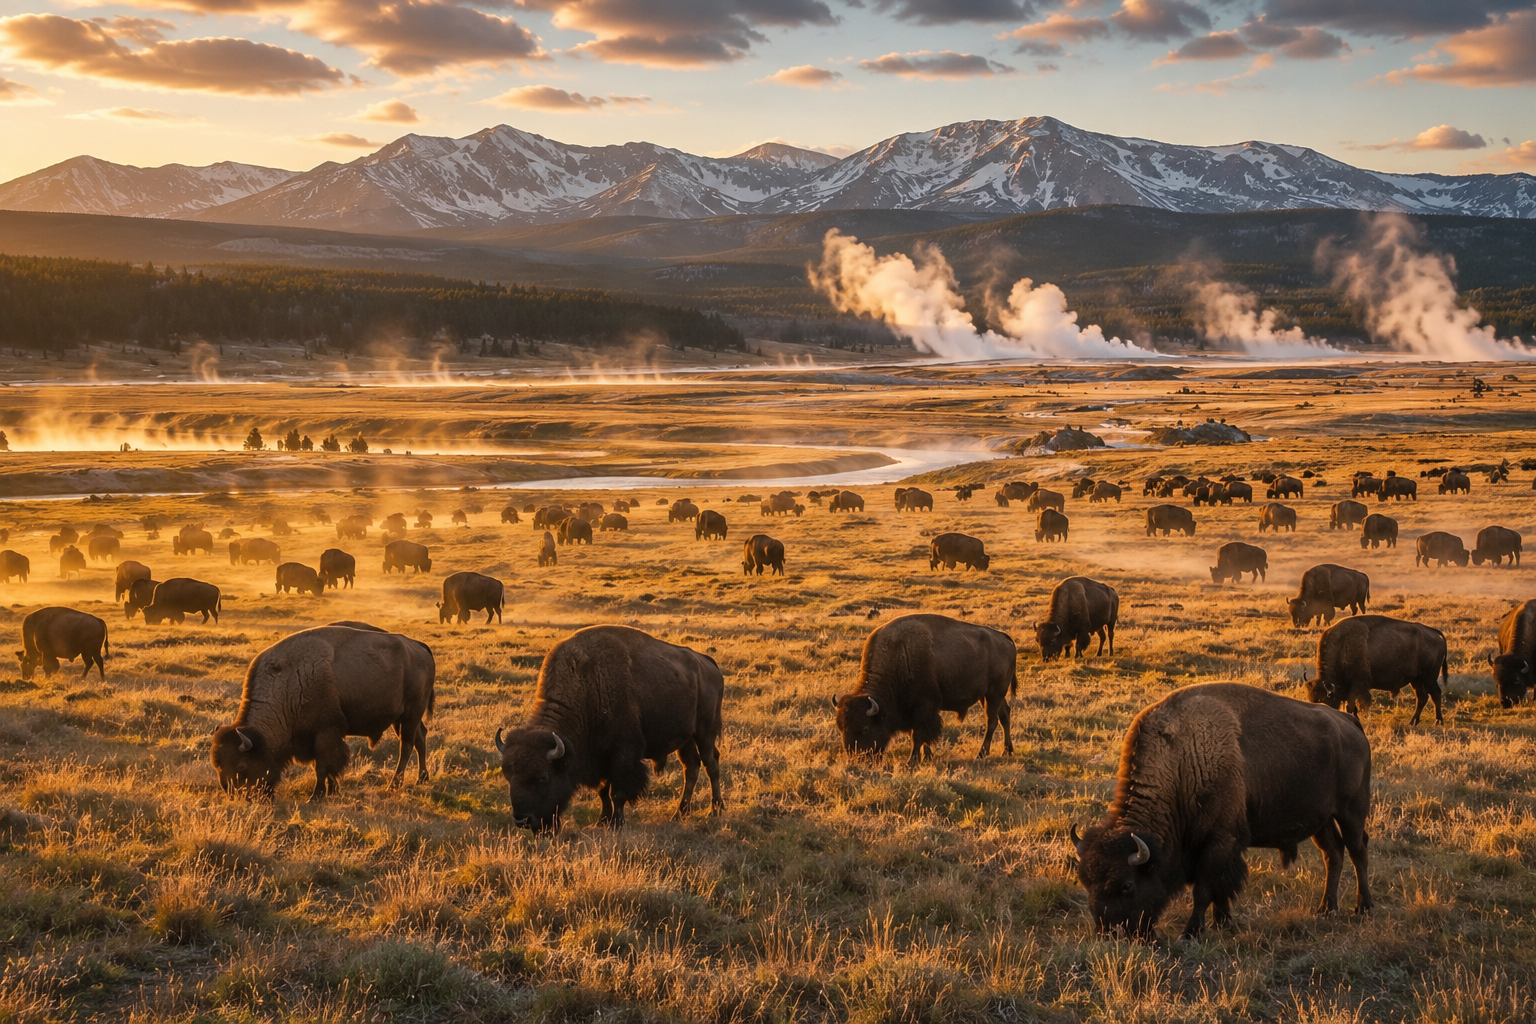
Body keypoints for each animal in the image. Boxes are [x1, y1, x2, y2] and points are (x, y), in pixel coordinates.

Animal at [212, 623, 435, 799]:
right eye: (218, 766)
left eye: (241, 766)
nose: (237, 796)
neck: (288, 683)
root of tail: (419, 646)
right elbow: (324, 766)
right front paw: (333, 790)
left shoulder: (325, 732)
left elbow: (322, 766)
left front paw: (316, 795)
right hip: (402, 718)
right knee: (420, 738)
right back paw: (422, 779)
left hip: (411, 714)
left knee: (406, 746)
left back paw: (394, 785)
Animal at [494, 625, 723, 829]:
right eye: (508, 775)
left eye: (543, 777)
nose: (522, 820)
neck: (588, 684)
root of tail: (708, 663)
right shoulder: (600, 757)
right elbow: (603, 791)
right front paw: (602, 820)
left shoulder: (622, 752)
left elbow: (617, 792)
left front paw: (616, 823)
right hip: (685, 739)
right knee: (691, 768)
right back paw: (679, 813)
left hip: (705, 732)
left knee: (711, 764)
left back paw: (716, 810)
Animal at [834, 614, 1016, 764]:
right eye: (840, 728)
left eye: (865, 729)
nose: (857, 759)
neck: (899, 656)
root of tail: (1003, 637)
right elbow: (920, 735)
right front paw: (927, 756)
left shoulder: (924, 707)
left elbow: (918, 735)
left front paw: (911, 761)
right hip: (988, 695)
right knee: (1004, 714)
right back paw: (1007, 751)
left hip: (994, 693)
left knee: (991, 721)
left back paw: (981, 754)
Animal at [1073, 683, 1371, 938]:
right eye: (1085, 882)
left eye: (1127, 885)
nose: (1110, 934)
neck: (1180, 761)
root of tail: (1351, 723)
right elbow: (1219, 888)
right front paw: (1222, 922)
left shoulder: (1219, 841)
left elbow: (1204, 889)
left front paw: (1191, 932)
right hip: (1321, 821)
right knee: (1333, 854)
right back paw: (1326, 909)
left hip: (1351, 812)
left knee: (1358, 851)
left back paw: (1363, 907)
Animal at [1306, 615, 1447, 725]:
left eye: (1323, 700)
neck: (1342, 646)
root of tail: (1434, 632)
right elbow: (1352, 707)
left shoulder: (1357, 684)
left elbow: (1351, 706)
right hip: (1416, 679)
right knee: (1422, 697)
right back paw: (1413, 722)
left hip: (1429, 677)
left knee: (1435, 693)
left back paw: (1438, 721)